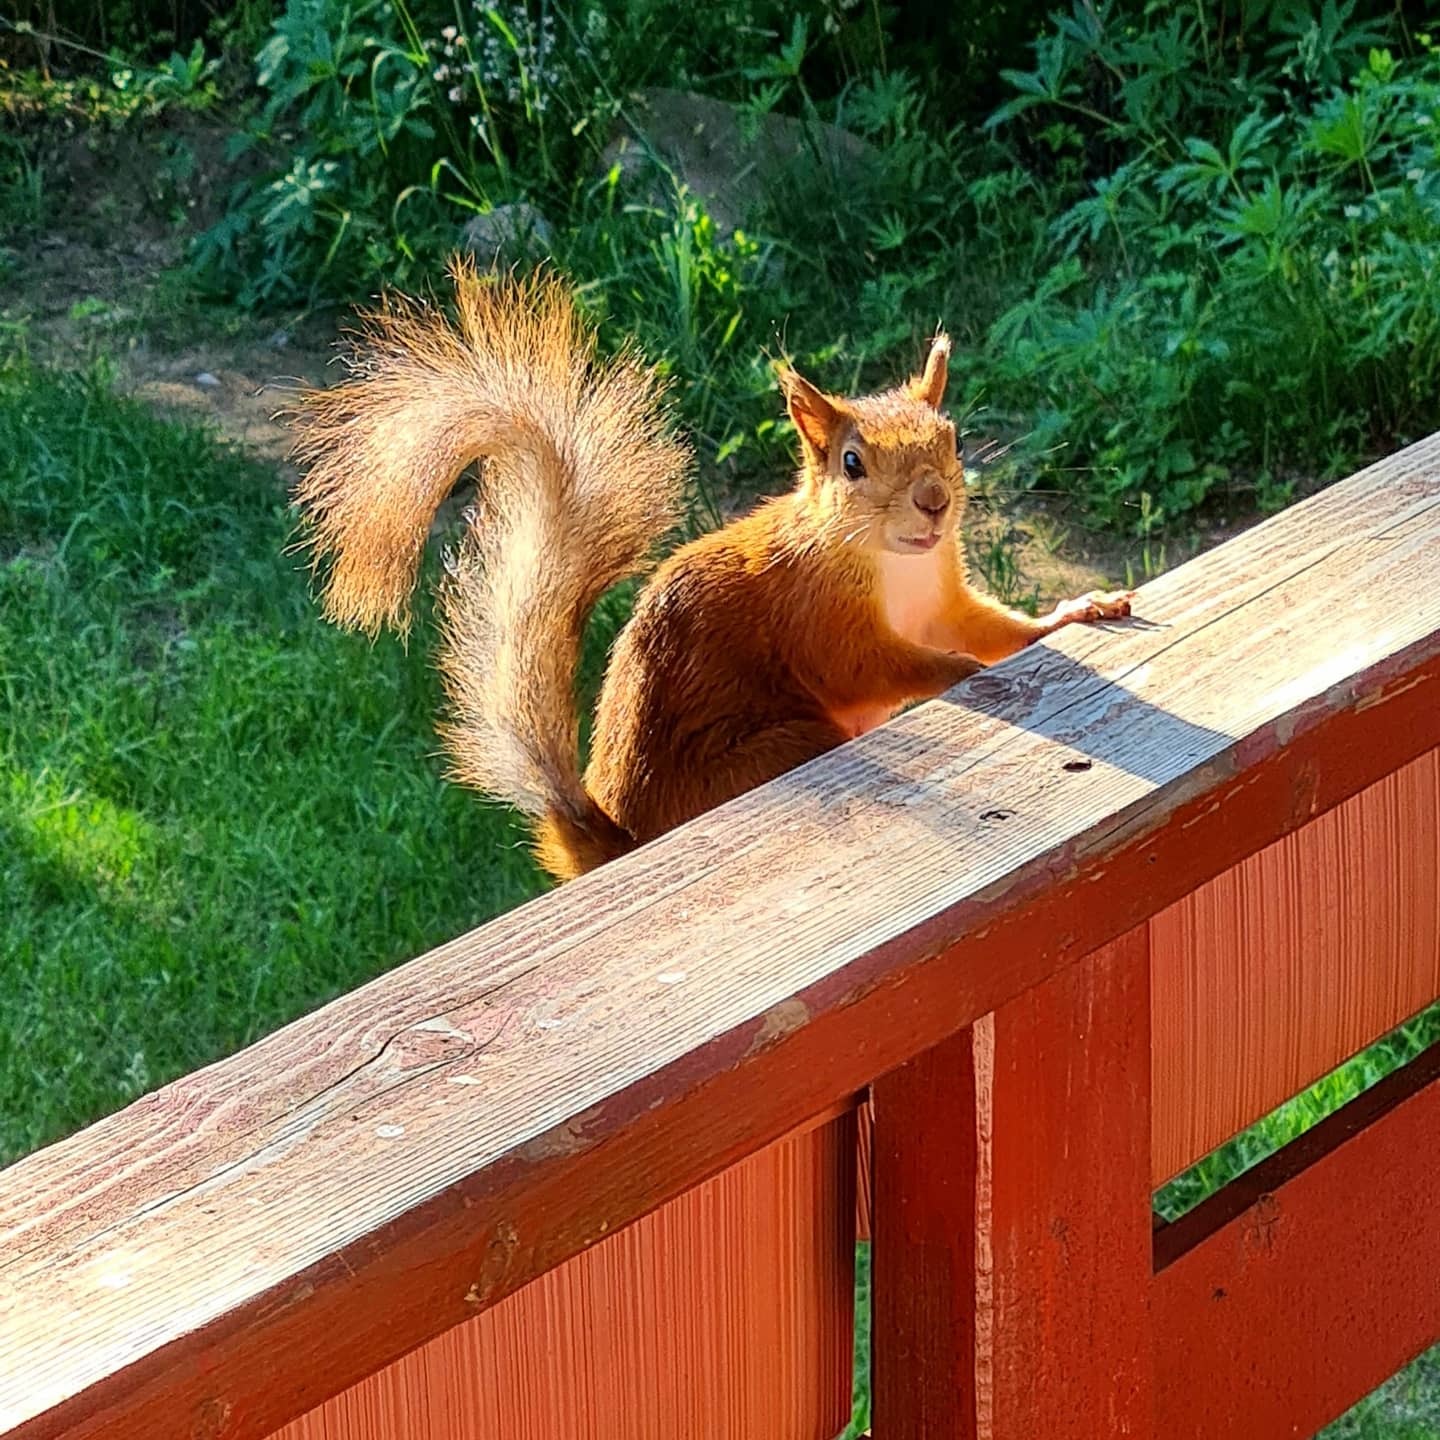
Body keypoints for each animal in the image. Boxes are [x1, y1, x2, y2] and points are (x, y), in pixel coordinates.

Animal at [289, 264, 1123, 881]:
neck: (893, 566)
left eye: (950, 437)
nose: (934, 501)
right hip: (776, 749)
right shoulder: (821, 618)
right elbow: (876, 664)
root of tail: (624, 841)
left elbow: (995, 629)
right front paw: (957, 676)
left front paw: (1075, 612)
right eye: (852, 463)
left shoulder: (943, 598)